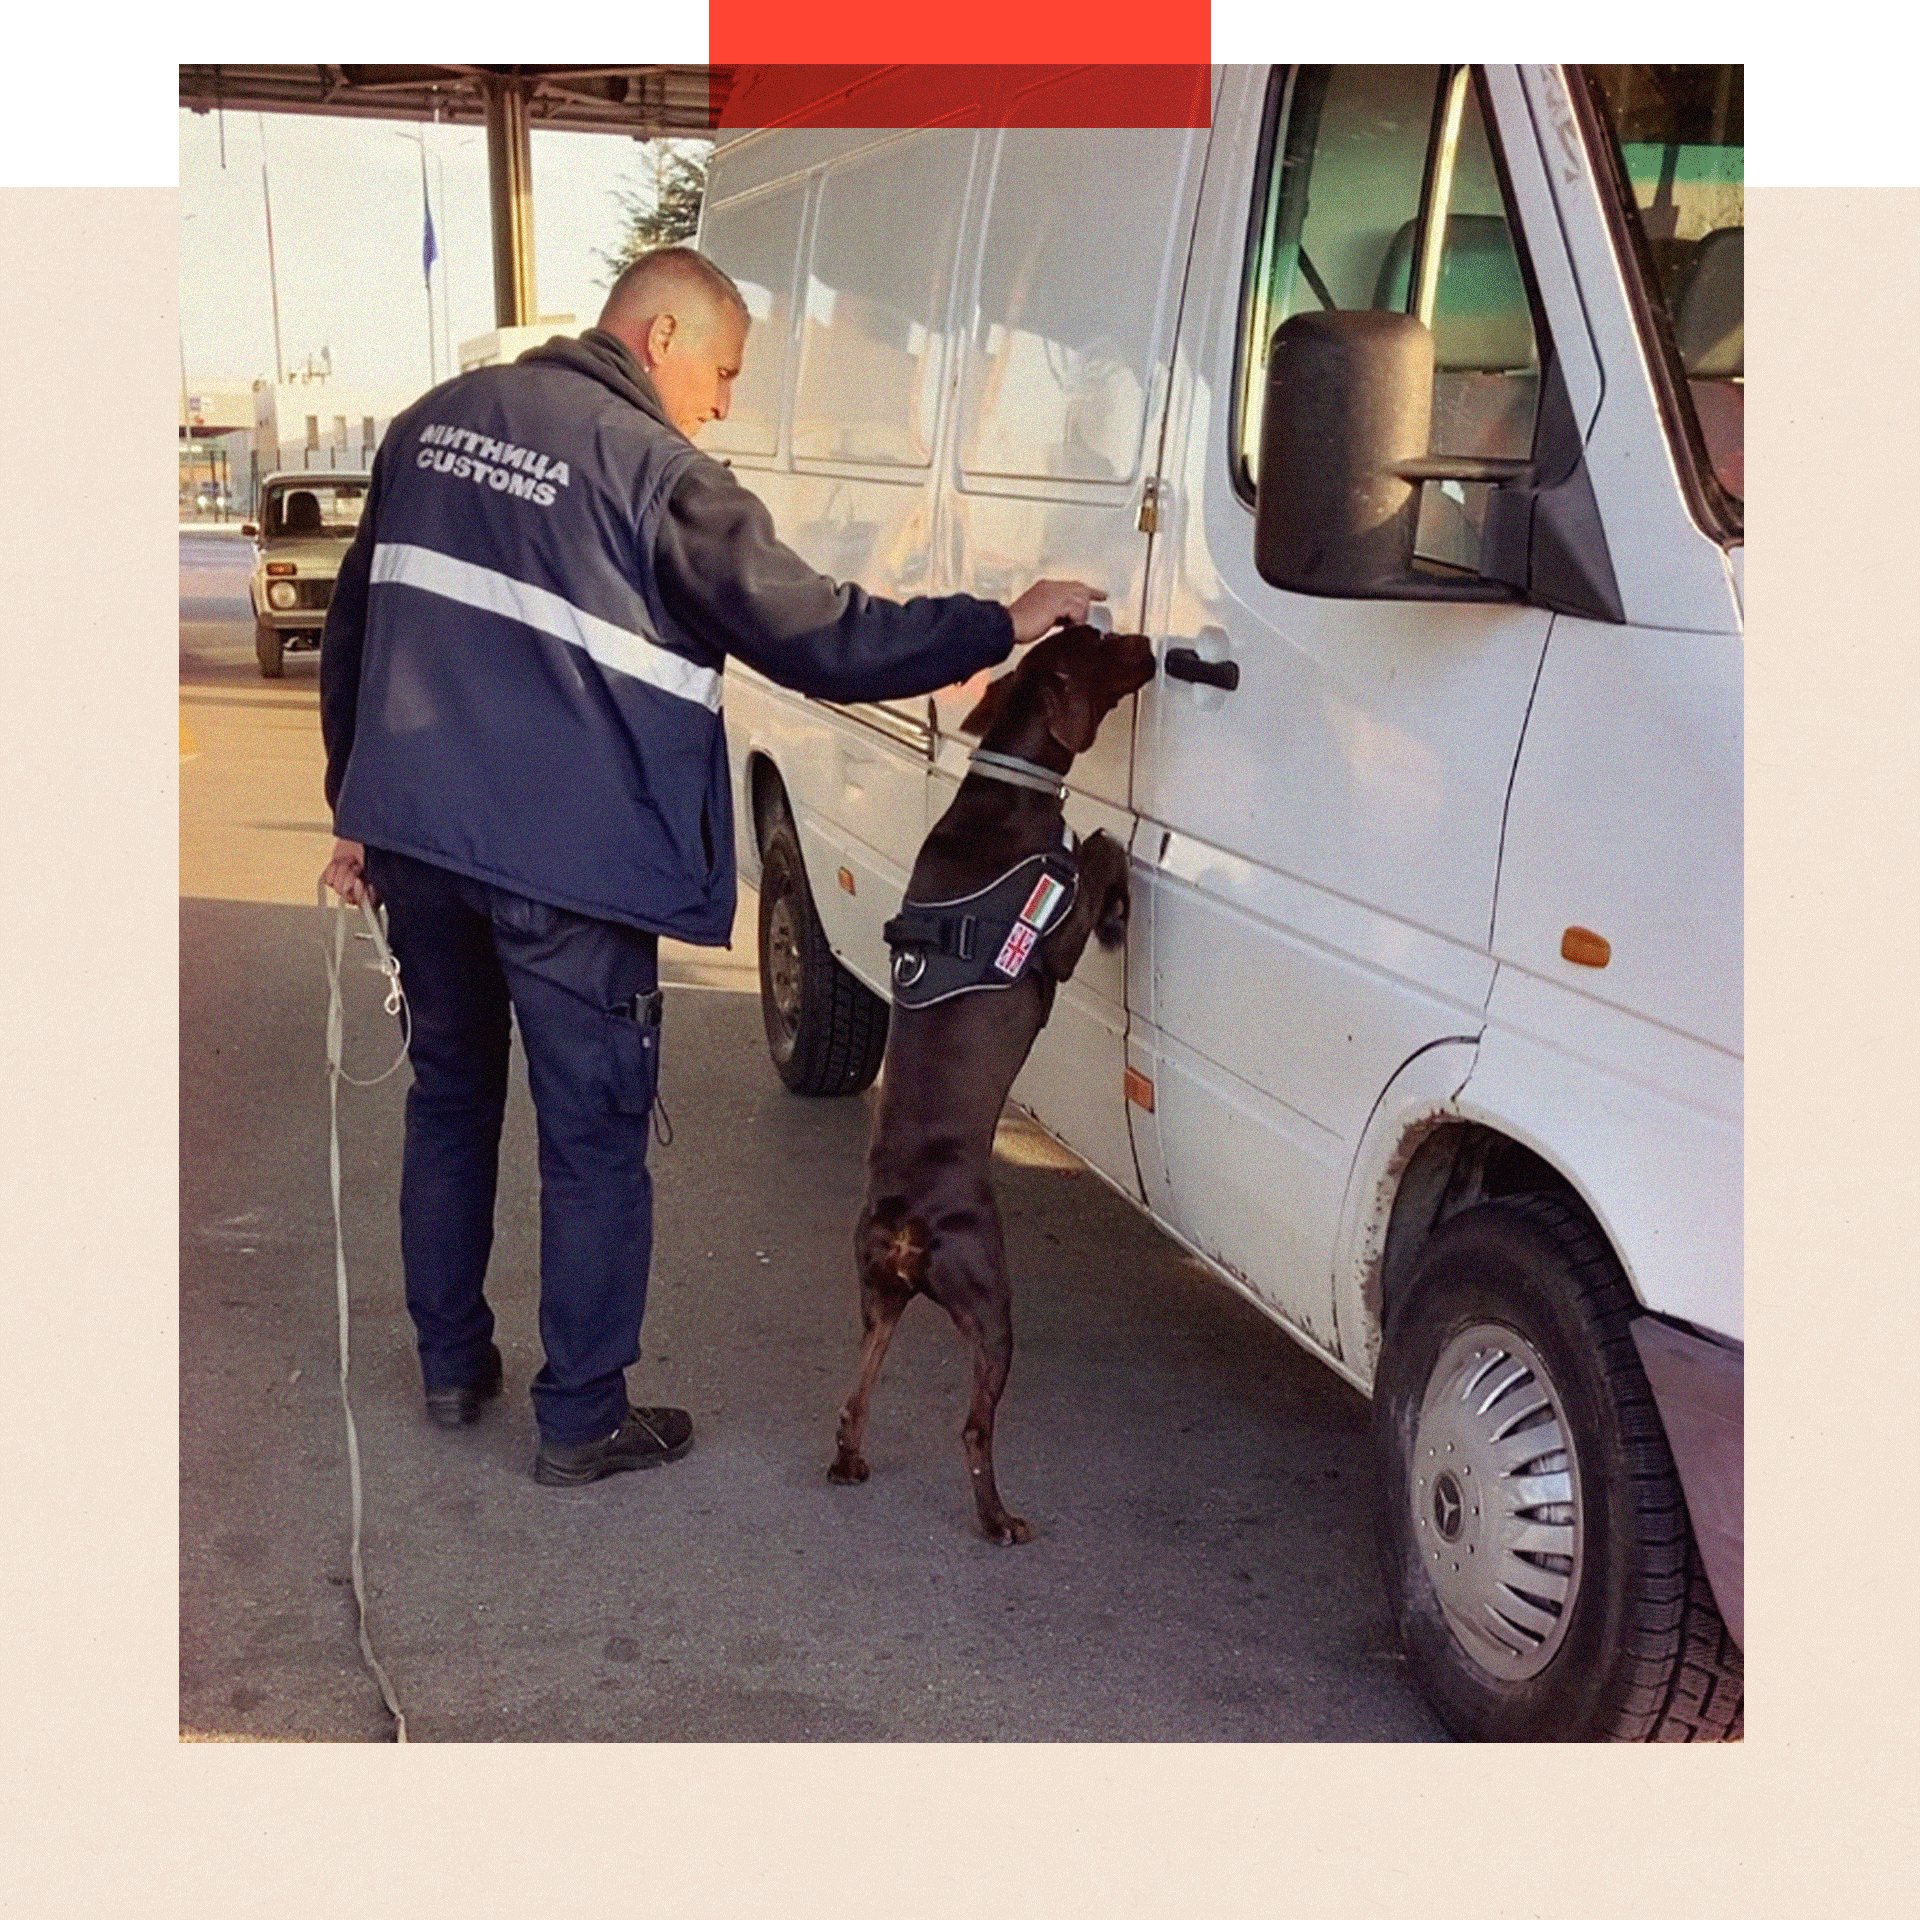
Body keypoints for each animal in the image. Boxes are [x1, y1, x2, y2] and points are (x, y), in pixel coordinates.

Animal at [825, 629, 1152, 1543]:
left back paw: (851, 1461)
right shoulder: (1053, 941)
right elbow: (1100, 848)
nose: (1150, 642)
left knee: (854, 1396)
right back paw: (998, 1518)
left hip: (878, 1297)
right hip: (989, 1302)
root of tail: (905, 1220)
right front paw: (1114, 871)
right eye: (1107, 646)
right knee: (973, 1427)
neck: (1006, 790)